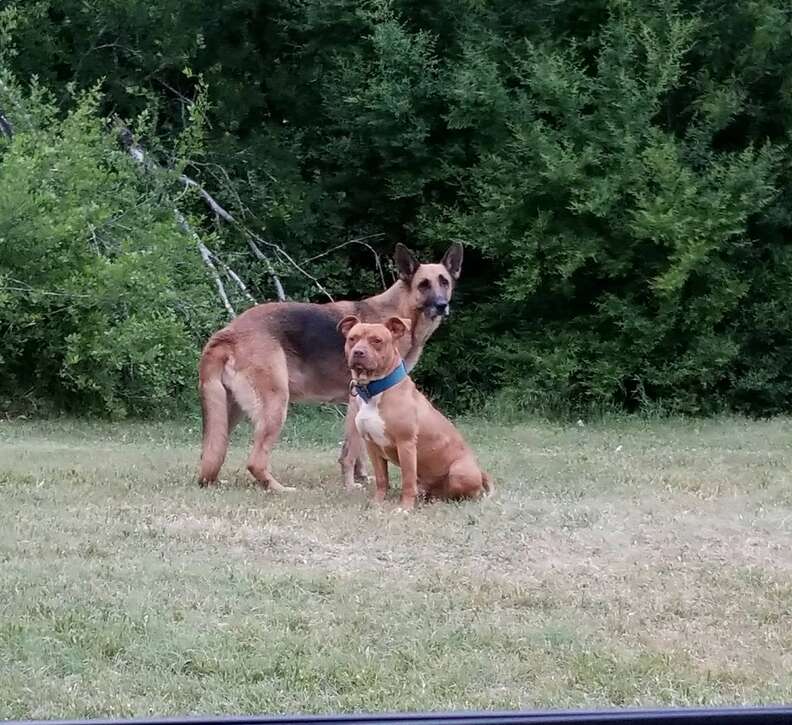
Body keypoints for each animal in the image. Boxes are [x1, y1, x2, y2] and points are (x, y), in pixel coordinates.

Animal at [196, 240, 464, 490]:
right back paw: (279, 488)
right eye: (423, 284)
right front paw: (350, 487)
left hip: (228, 413)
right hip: (275, 406)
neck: (402, 312)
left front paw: (361, 477)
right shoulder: (356, 400)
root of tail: (228, 333)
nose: (442, 305)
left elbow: (360, 450)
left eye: (444, 282)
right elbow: (350, 451)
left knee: (210, 454)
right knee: (255, 461)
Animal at [338, 312, 492, 510]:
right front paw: (377, 502)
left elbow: (407, 479)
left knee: (465, 494)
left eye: (377, 340)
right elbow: (381, 479)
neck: (375, 390)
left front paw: (405, 508)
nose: (358, 352)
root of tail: (479, 470)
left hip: (458, 472)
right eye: (352, 339)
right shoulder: (372, 445)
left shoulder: (406, 444)